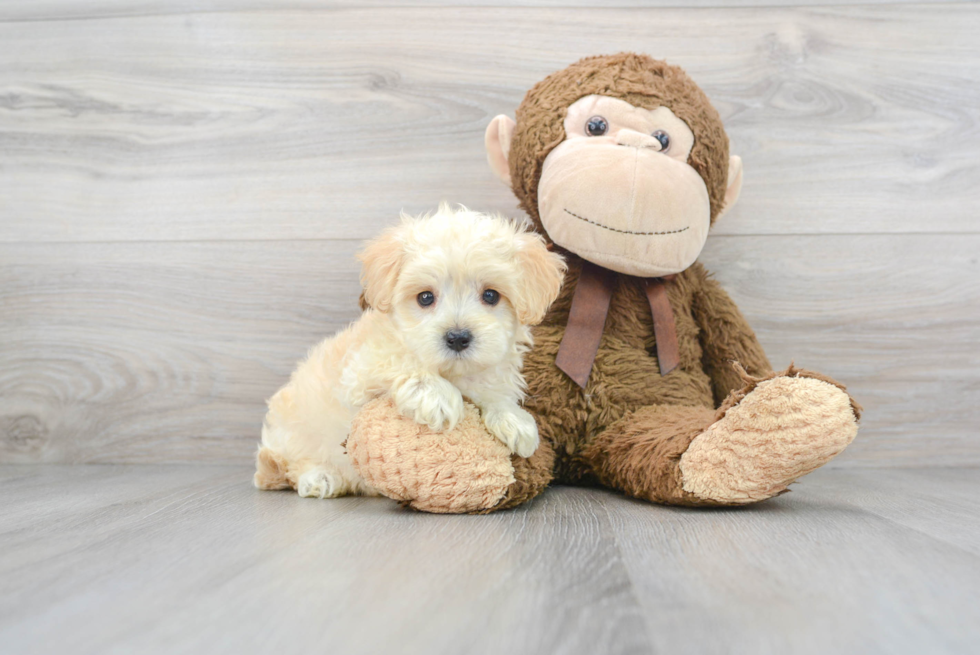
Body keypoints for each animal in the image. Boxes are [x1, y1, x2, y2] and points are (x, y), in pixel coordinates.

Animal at [253, 208, 568, 500]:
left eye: (491, 295)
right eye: (425, 297)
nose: (457, 337)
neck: (451, 372)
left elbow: (491, 389)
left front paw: (513, 419)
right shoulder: (359, 374)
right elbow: (402, 361)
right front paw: (438, 397)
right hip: (293, 435)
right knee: (289, 465)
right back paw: (318, 478)